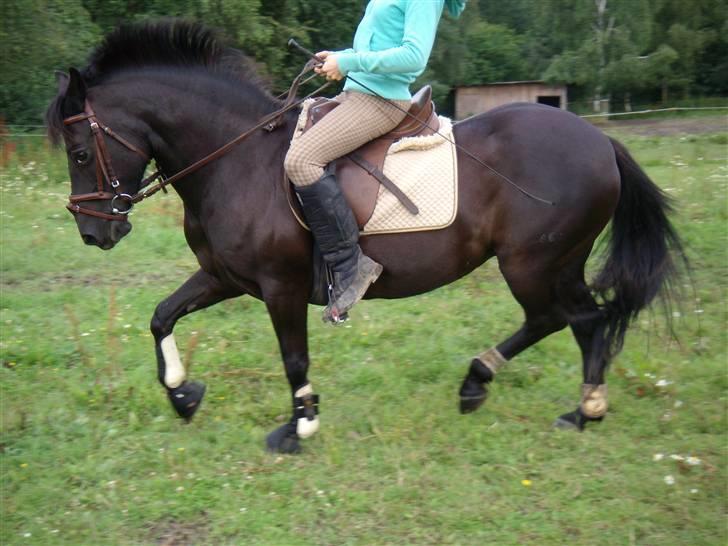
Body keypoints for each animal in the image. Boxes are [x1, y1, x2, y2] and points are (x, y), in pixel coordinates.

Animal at [46, 21, 682, 453]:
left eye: (79, 153)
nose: (91, 232)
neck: (237, 159)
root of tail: (599, 141)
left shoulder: (279, 285)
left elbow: (294, 357)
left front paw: (300, 425)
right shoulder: (224, 276)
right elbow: (161, 316)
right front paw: (183, 395)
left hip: (534, 262)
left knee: (571, 319)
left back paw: (555, 402)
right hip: (553, 262)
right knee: (572, 320)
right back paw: (521, 395)